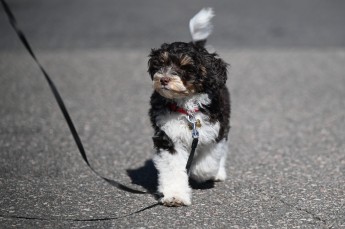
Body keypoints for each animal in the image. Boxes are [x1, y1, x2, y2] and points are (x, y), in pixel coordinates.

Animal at [147, 8, 230, 207]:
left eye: (185, 67)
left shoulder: (214, 130)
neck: (187, 108)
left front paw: (199, 172)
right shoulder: (169, 137)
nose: (164, 79)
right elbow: (173, 168)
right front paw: (175, 195)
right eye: (160, 64)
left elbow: (207, 162)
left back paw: (218, 172)